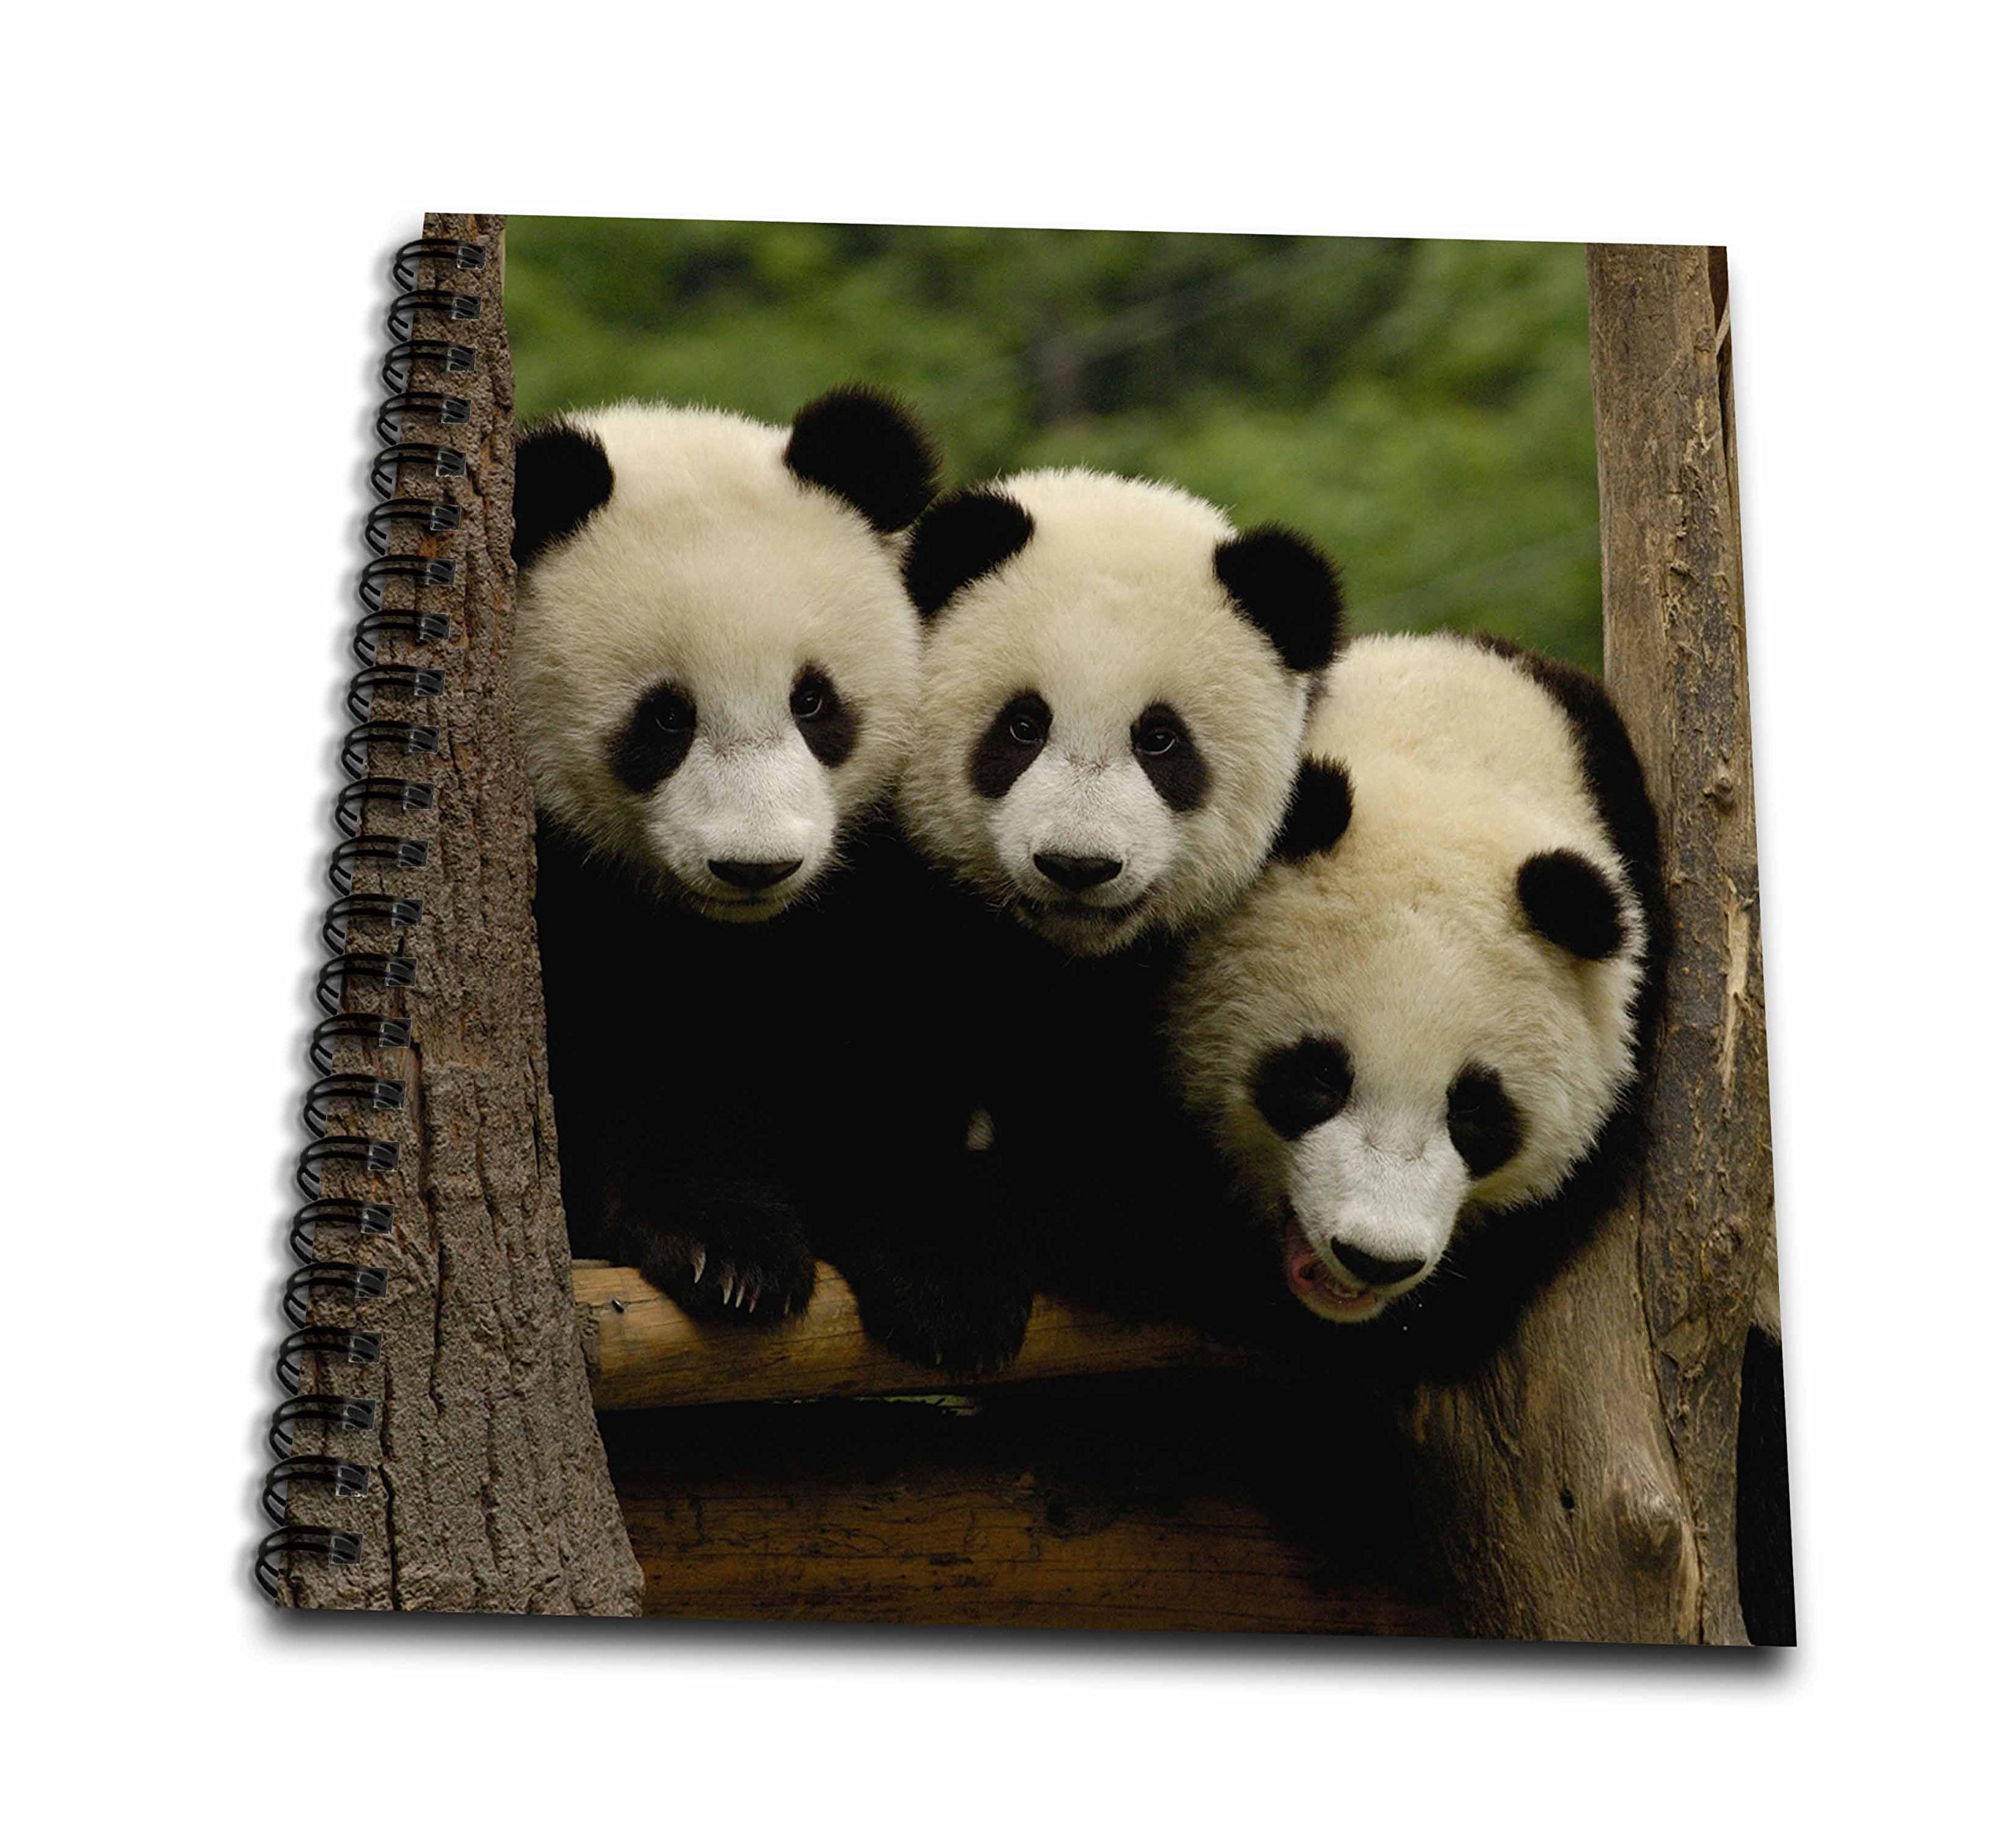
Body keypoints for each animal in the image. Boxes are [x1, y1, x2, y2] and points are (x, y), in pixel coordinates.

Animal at [511, 386, 938, 1322]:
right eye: (666, 717)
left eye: (813, 700)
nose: (755, 866)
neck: (723, 932)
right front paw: (730, 1248)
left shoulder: (862, 887)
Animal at [828, 468, 1345, 1373]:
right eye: (1023, 723)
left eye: (1161, 739)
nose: (1077, 865)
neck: (1053, 953)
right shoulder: (894, 882)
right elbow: (881, 1054)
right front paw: (946, 1286)